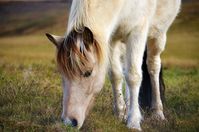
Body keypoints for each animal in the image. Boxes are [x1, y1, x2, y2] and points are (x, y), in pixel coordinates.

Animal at [45, 0, 181, 130]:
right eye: (62, 75)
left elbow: (133, 76)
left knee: (153, 67)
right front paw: (120, 114)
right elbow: (115, 76)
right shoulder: (111, 39)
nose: (69, 122)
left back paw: (158, 113)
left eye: (88, 73)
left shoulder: (137, 32)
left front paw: (134, 122)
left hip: (158, 34)